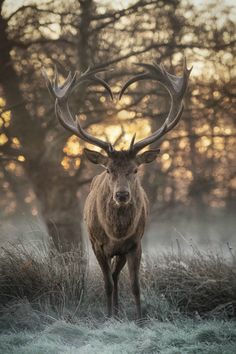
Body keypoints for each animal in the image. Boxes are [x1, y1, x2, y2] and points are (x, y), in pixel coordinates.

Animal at [43, 59, 192, 320]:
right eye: (109, 170)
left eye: (135, 169)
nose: (122, 195)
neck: (116, 233)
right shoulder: (96, 244)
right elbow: (107, 283)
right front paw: (109, 317)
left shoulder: (134, 244)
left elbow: (134, 284)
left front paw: (140, 319)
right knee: (111, 278)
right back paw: (113, 310)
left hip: (122, 252)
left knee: (116, 274)